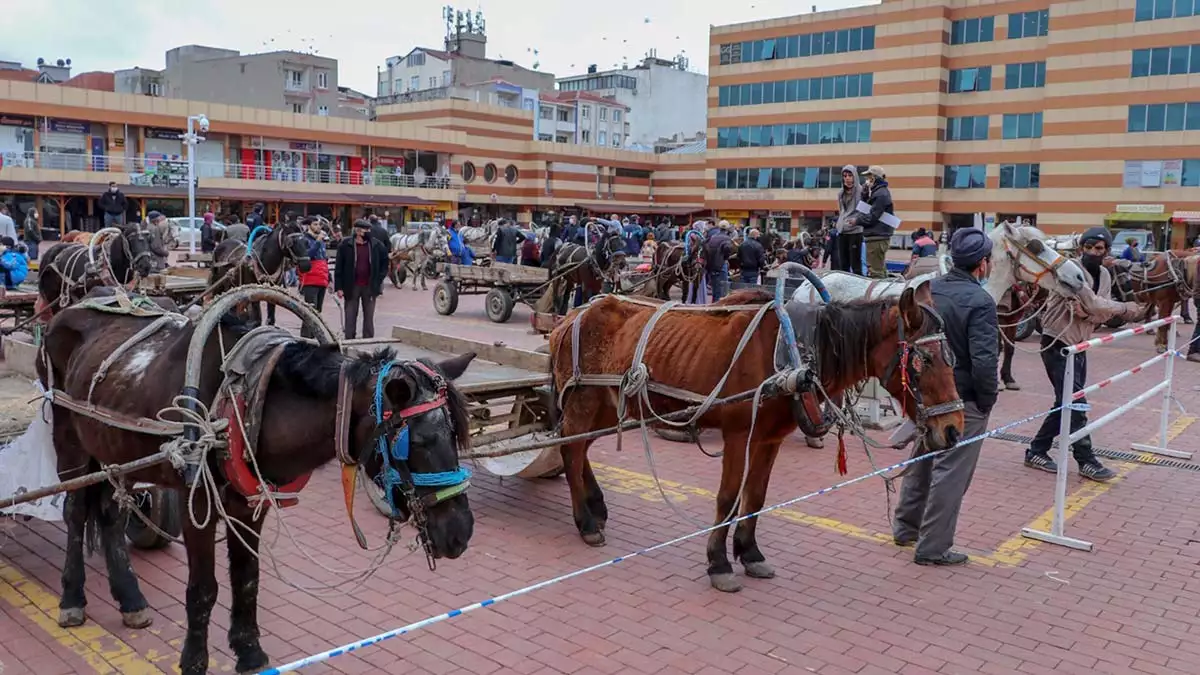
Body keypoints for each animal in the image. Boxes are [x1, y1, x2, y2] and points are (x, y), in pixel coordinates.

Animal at [549, 281, 964, 590]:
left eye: (952, 357)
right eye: (924, 360)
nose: (953, 429)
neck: (793, 357)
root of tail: (569, 317)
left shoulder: (768, 439)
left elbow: (757, 497)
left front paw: (750, 553)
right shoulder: (738, 435)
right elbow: (728, 499)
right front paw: (718, 563)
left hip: (605, 405)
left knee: (579, 448)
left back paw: (596, 507)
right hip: (584, 402)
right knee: (570, 449)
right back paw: (586, 522)